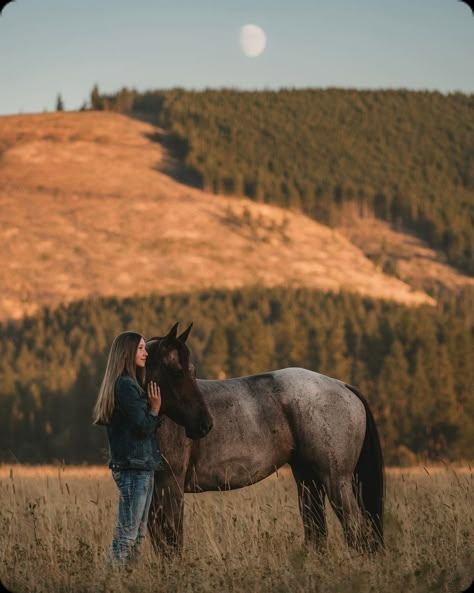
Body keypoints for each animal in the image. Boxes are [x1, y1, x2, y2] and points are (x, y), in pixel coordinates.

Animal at [145, 322, 386, 552]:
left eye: (189, 372)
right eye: (177, 372)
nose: (204, 424)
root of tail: (344, 386)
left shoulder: (170, 485)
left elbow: (172, 543)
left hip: (336, 480)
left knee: (356, 531)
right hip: (308, 479)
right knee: (316, 531)